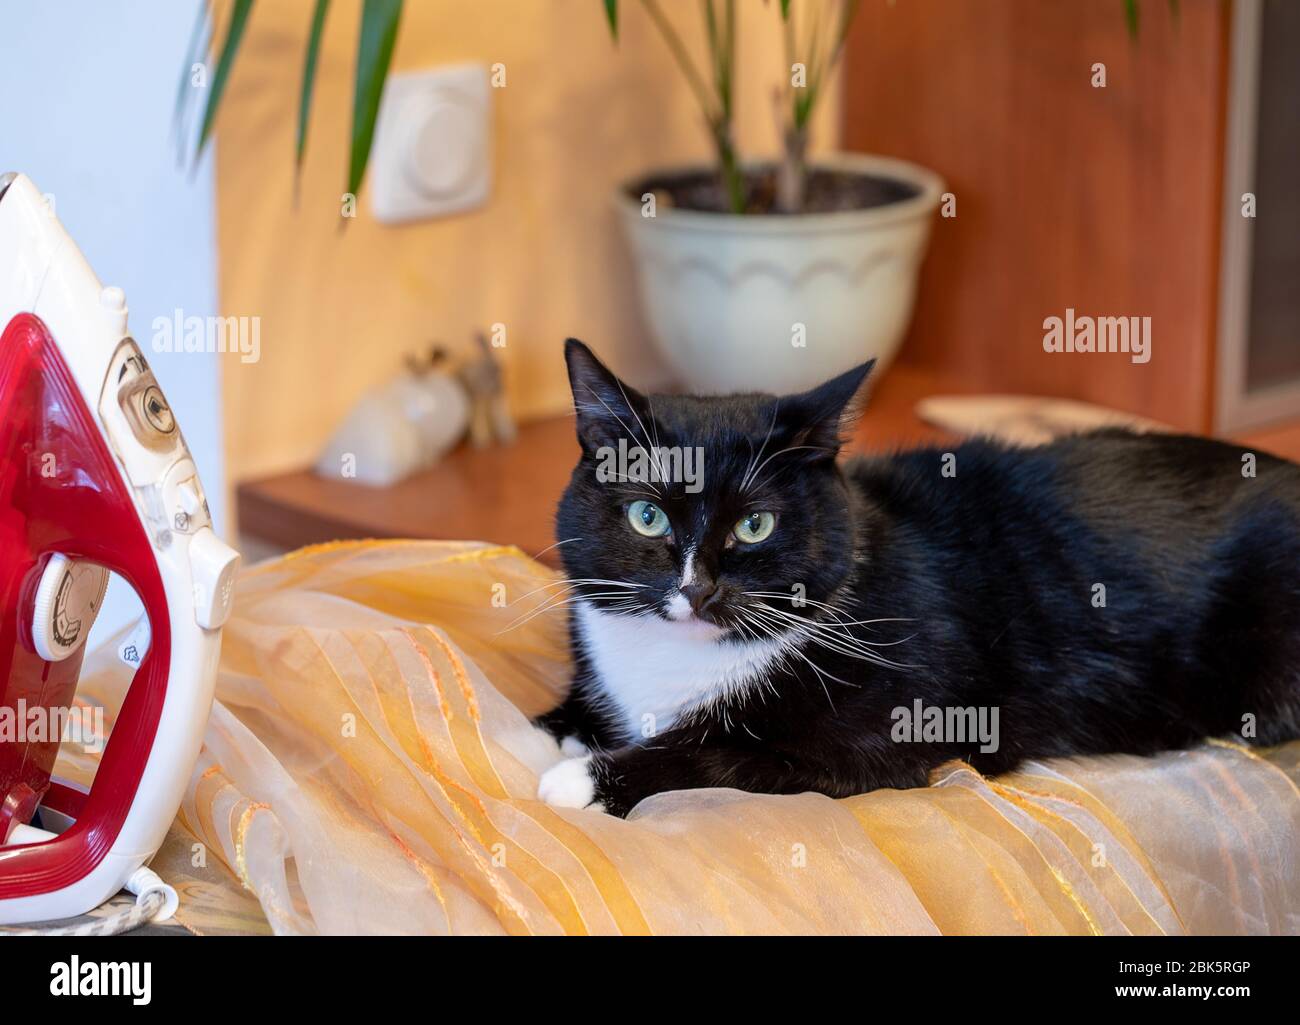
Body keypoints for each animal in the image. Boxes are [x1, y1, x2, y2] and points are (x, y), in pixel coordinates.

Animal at [533, 340, 1300, 822]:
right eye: (647, 514)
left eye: (755, 525)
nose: (699, 590)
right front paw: (559, 729)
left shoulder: (880, 737)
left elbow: (718, 756)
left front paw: (587, 778)